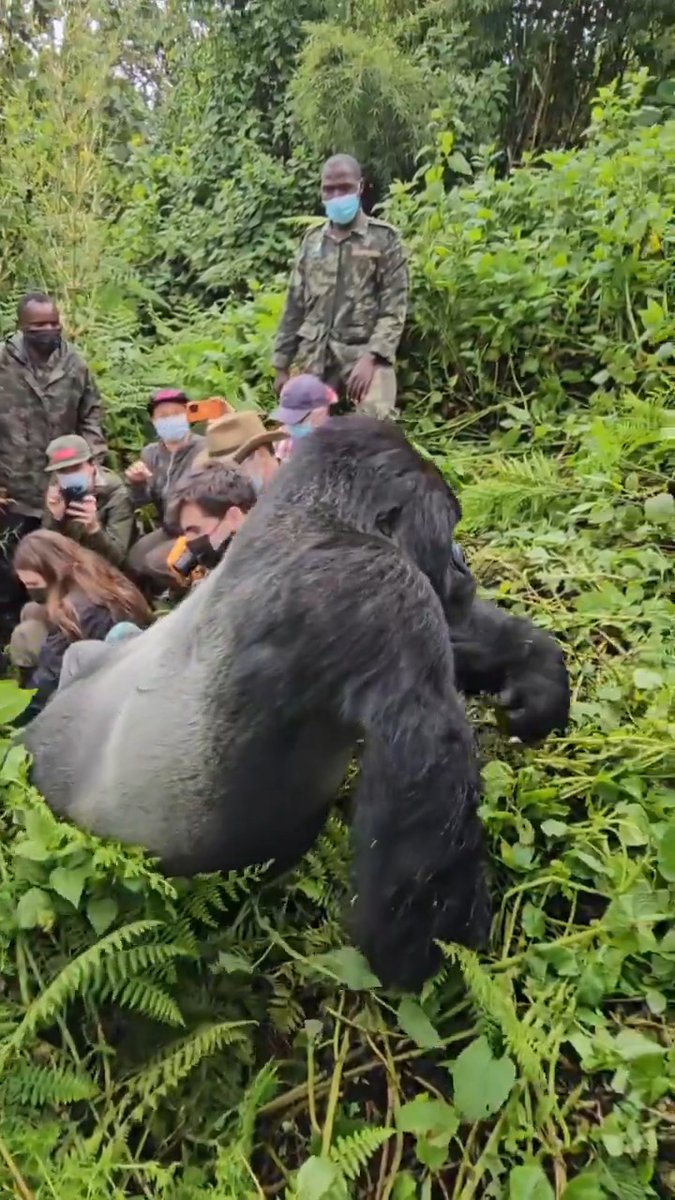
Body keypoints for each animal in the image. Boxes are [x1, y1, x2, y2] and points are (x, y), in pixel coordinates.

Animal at [20, 416, 570, 992]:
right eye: (448, 527)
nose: (463, 566)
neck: (312, 516)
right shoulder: (374, 583)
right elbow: (425, 772)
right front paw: (437, 955)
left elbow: (456, 628)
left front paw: (538, 674)